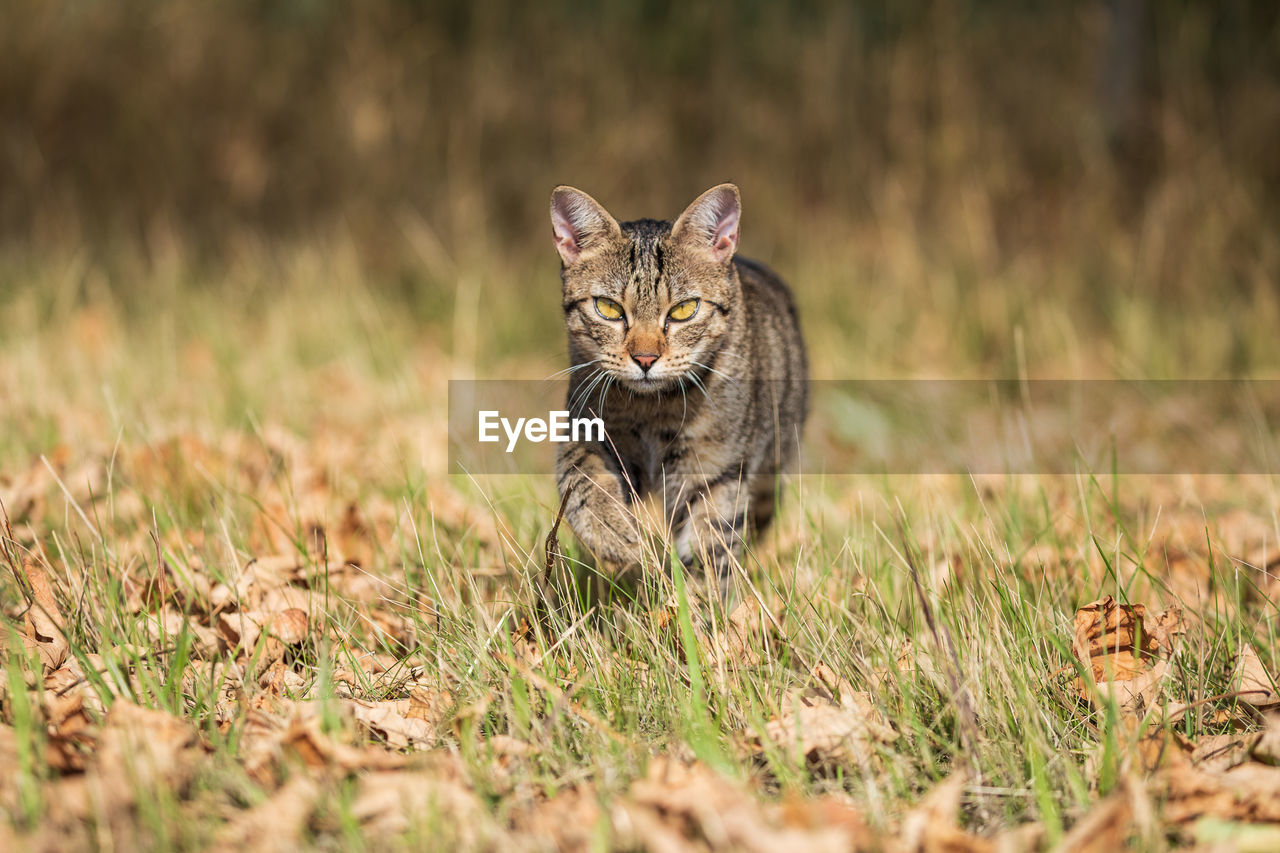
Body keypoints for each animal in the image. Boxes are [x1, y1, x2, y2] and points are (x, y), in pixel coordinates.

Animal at [550, 183, 808, 589]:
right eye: (608, 308)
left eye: (684, 310)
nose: (644, 358)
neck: (652, 409)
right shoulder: (585, 429)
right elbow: (581, 479)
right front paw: (614, 534)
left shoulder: (714, 470)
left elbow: (709, 547)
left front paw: (704, 603)